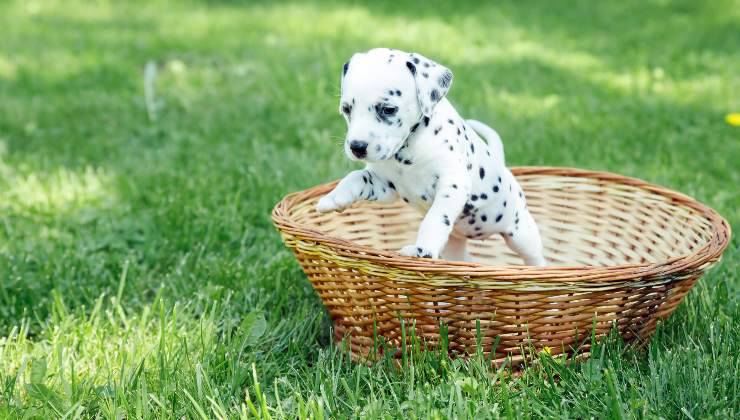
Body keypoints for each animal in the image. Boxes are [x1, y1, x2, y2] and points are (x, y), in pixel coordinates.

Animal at [316, 48, 548, 266]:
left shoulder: (452, 184)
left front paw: (423, 250)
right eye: (346, 109)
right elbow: (356, 177)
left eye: (388, 109)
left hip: (521, 233)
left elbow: (435, 219)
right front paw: (334, 198)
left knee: (534, 257)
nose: (357, 147)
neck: (408, 149)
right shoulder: (385, 186)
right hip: (456, 244)